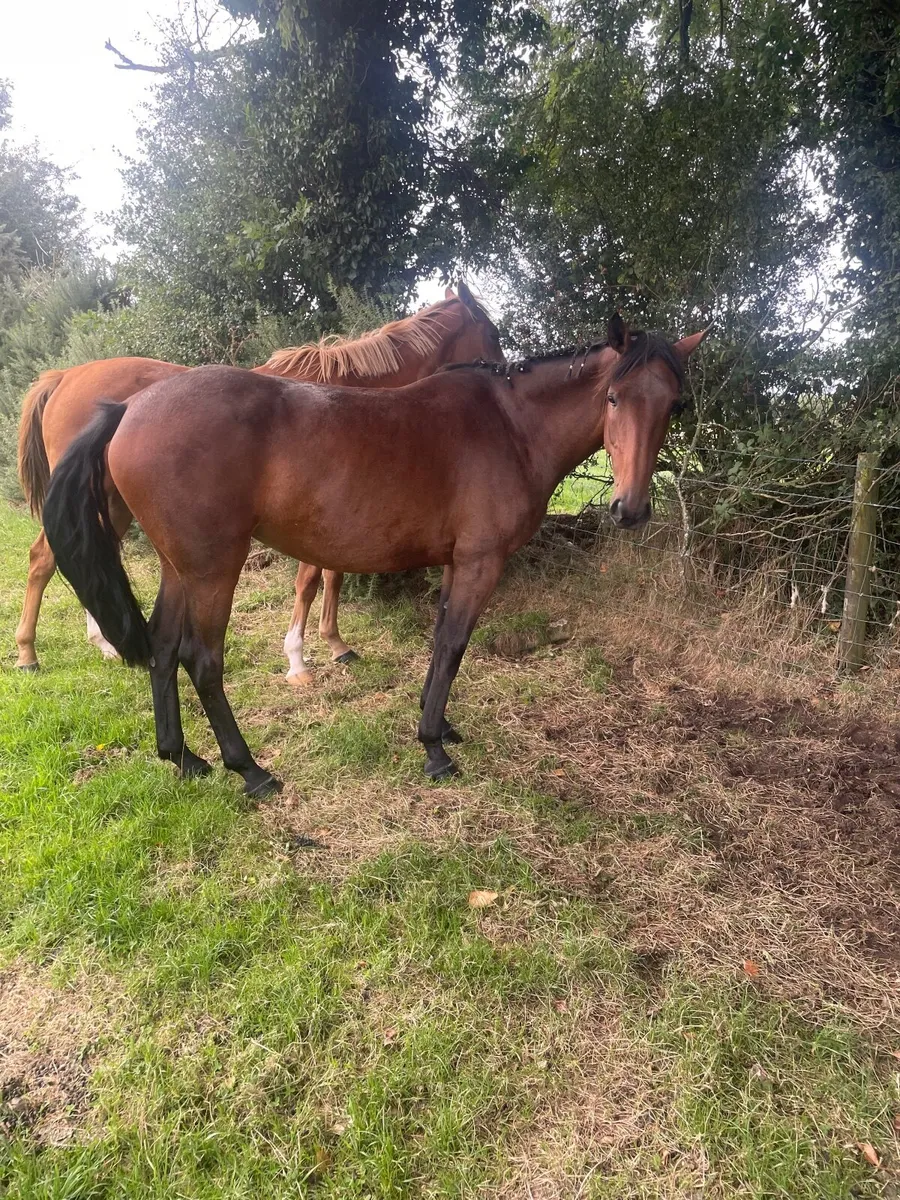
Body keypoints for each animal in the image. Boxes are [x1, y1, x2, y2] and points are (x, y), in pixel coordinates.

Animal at [15, 283, 503, 680]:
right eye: (494, 334)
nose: (500, 375)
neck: (343, 391)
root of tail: (64, 377)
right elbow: (310, 580)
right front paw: (298, 660)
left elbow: (333, 574)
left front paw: (336, 644)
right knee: (45, 558)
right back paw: (28, 654)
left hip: (113, 506)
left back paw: (102, 644)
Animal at [42, 314, 708, 797]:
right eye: (615, 397)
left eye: (675, 405)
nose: (630, 509)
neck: (511, 427)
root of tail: (129, 408)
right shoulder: (481, 562)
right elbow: (454, 646)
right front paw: (433, 748)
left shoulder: (455, 562)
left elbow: (441, 642)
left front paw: (441, 727)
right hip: (213, 570)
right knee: (201, 660)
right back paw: (249, 770)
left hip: (180, 568)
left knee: (160, 648)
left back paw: (182, 758)